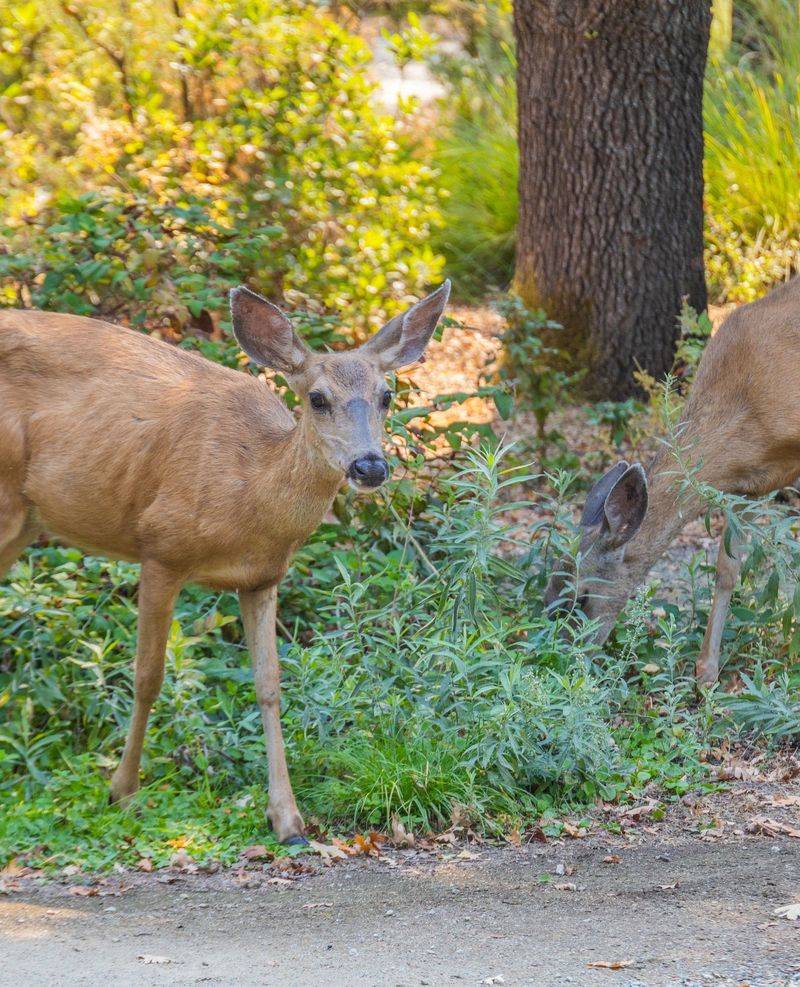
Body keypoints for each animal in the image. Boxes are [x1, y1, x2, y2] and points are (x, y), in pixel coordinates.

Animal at [0, 280, 450, 843]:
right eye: (317, 398)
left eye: (386, 396)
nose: (369, 466)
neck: (244, 494)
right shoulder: (160, 547)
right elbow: (148, 676)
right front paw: (123, 790)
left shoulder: (262, 578)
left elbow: (269, 686)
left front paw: (288, 819)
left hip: (26, 520)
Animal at [544, 276, 800, 686]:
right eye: (547, 597)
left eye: (581, 598)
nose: (566, 666)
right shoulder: (750, 486)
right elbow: (727, 570)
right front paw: (706, 673)